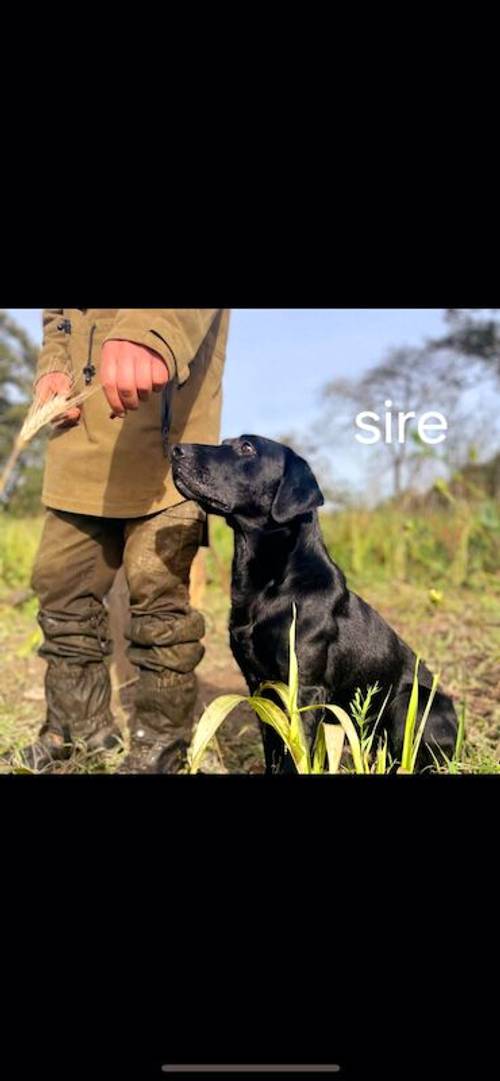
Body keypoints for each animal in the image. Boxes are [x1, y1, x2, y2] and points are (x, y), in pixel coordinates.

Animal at [171, 434, 457, 773]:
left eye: (247, 448)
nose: (175, 450)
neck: (269, 587)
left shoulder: (305, 689)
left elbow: (297, 756)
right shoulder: (260, 686)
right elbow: (273, 749)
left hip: (413, 703)